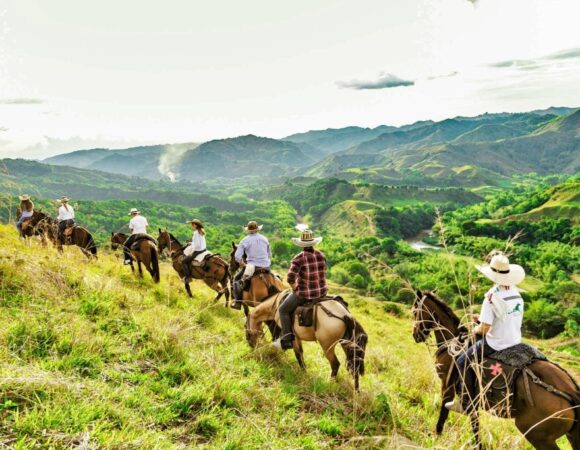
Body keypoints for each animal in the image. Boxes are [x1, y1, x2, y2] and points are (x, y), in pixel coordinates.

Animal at [412, 290, 580, 448]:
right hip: (570, 436)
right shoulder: (473, 401)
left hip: (536, 435)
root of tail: (570, 390)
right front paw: (479, 446)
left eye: (414, 312)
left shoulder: (447, 386)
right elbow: (475, 425)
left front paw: (436, 437)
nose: (415, 335)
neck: (453, 342)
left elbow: (444, 413)